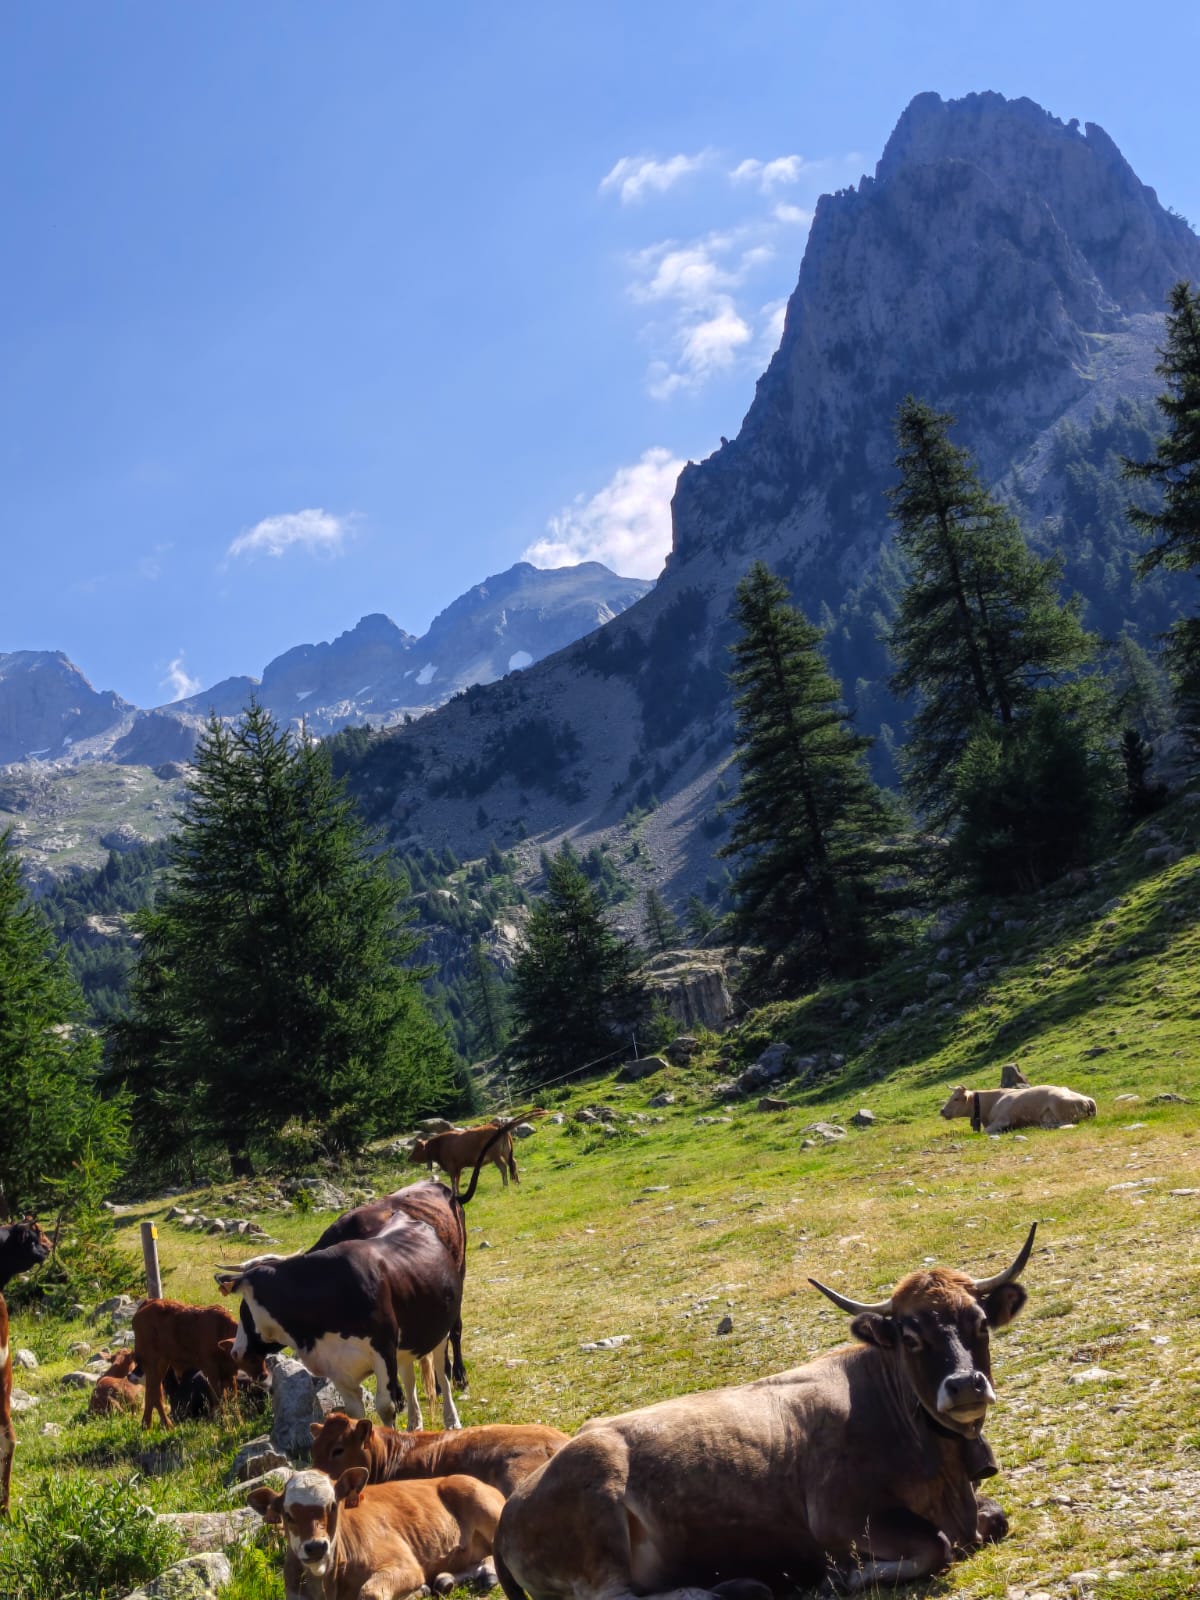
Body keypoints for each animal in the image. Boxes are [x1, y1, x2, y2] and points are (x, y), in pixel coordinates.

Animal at [132, 1297, 263, 1430]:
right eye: (250, 1356)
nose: (263, 1375)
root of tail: (147, 1303)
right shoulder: (211, 1371)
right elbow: (220, 1398)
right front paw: (226, 1425)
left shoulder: (229, 1374)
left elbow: (232, 1398)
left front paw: (239, 1424)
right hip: (153, 1363)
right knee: (153, 1392)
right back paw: (160, 1426)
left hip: (162, 1364)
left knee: (154, 1392)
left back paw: (153, 1425)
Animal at [248, 1466, 504, 1600]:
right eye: (288, 1515)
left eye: (333, 1505)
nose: (316, 1546)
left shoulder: (405, 1565)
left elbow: (370, 1593)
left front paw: (417, 1591)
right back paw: (448, 1579)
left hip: (484, 1506)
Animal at [494, 1227, 1037, 1599]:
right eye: (911, 1336)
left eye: (980, 1322)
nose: (965, 1384)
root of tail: (513, 1507)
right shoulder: (839, 1518)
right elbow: (937, 1546)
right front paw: (837, 1578)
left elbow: (994, 1519)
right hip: (600, 1514)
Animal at [940, 1084, 1097, 1133]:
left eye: (956, 1098)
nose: (942, 1111)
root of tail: (1088, 1099)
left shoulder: (1003, 1120)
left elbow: (986, 1131)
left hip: (1058, 1106)